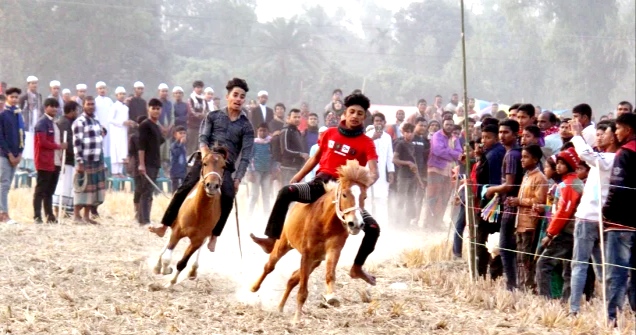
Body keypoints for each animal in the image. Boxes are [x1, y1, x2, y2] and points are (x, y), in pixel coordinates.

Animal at [153, 148, 227, 288]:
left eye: (223, 166)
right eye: (204, 163)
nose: (212, 186)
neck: (198, 211)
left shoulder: (197, 240)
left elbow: (182, 263)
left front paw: (171, 282)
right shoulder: (177, 231)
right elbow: (167, 257)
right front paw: (165, 269)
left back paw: (193, 270)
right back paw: (157, 264)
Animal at [251, 161, 372, 324]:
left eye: (364, 197)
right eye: (345, 194)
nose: (356, 224)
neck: (326, 222)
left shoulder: (333, 250)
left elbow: (330, 274)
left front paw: (331, 297)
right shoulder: (307, 253)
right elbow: (302, 291)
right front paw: (296, 319)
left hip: (316, 260)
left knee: (292, 279)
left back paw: (280, 307)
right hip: (284, 243)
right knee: (269, 266)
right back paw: (254, 287)